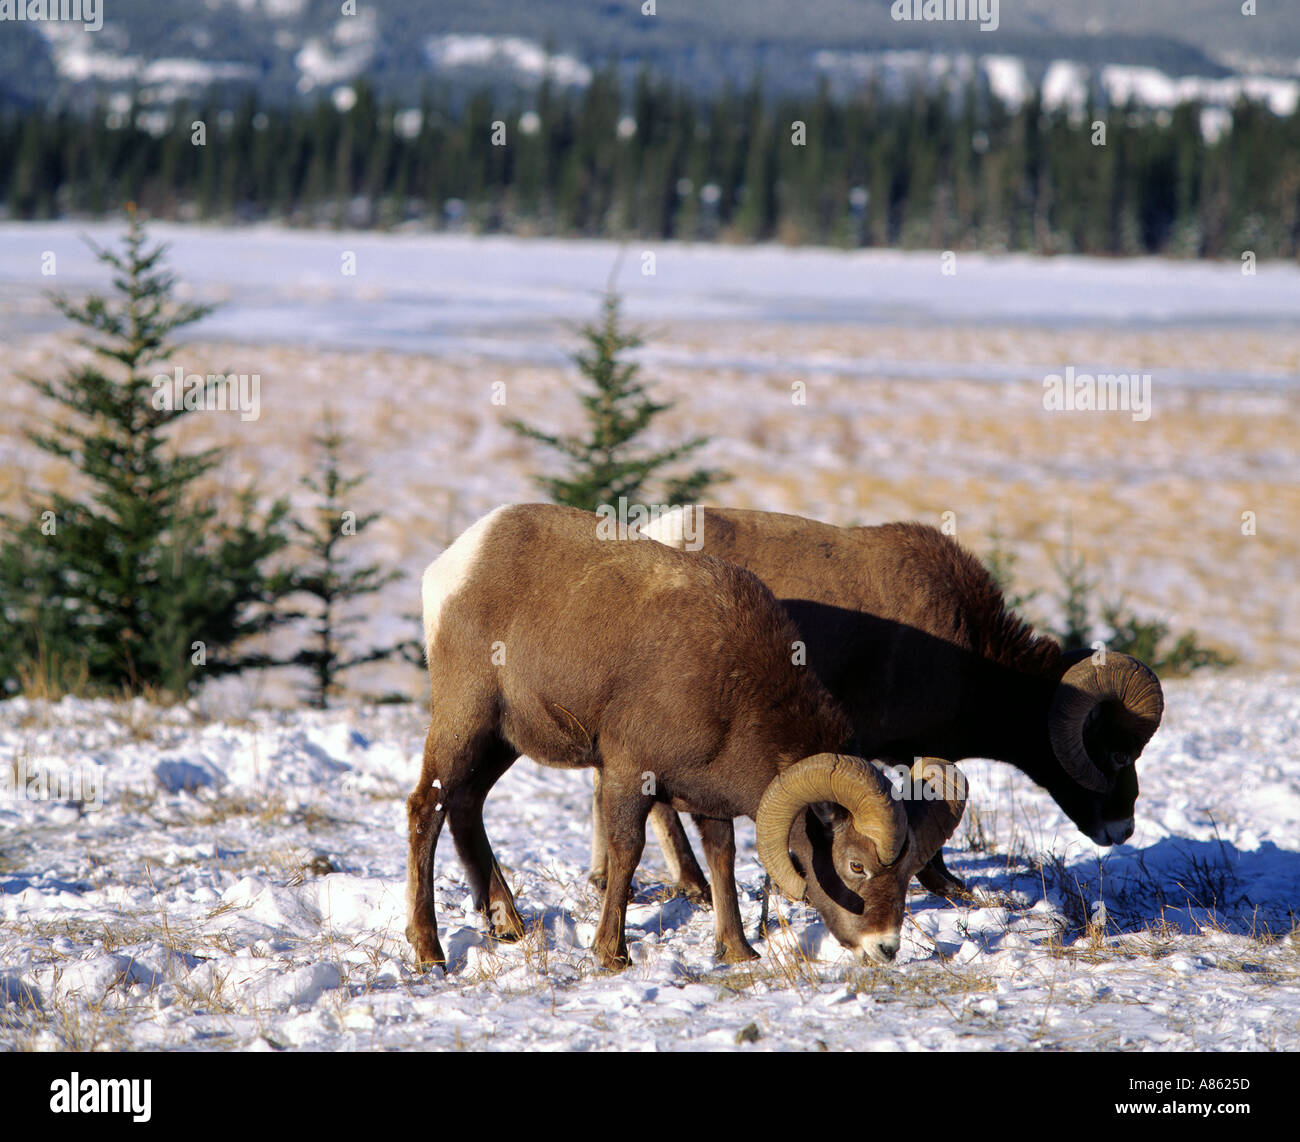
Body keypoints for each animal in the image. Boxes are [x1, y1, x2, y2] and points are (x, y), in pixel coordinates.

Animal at [405, 504, 967, 967]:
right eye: (856, 865)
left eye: (906, 870)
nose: (885, 948)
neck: (735, 687)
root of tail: (451, 566)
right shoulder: (628, 775)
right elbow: (627, 852)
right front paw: (612, 953)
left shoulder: (709, 797)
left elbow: (723, 857)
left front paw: (737, 950)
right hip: (466, 719)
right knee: (427, 808)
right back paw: (431, 952)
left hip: (503, 742)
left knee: (467, 805)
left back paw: (508, 926)